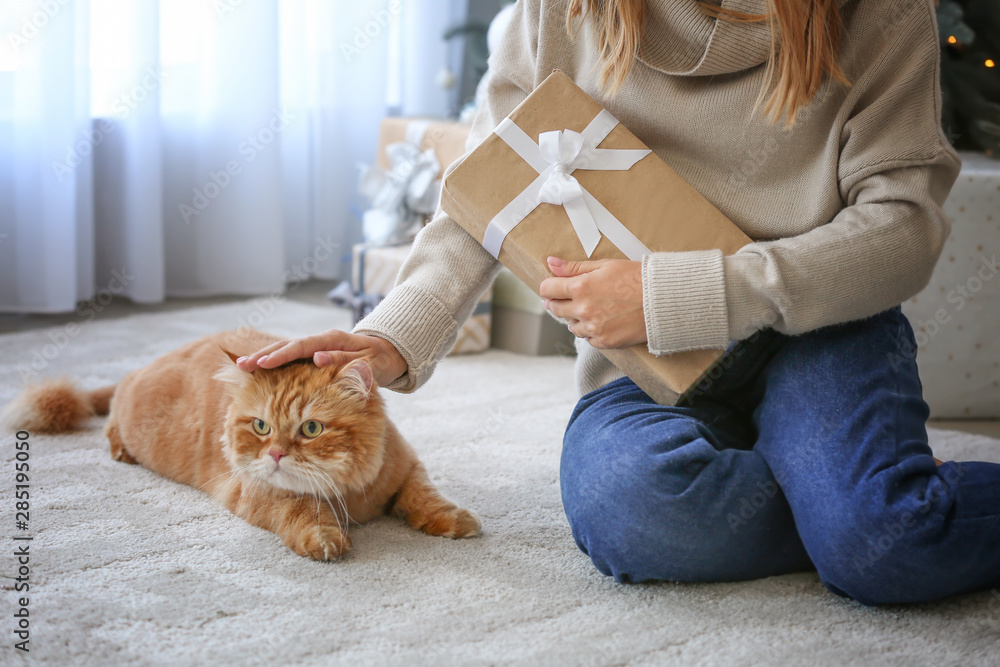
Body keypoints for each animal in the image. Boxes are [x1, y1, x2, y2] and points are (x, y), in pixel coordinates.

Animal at [2, 332, 480, 560]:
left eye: (311, 429)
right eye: (261, 426)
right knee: (108, 425)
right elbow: (303, 511)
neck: (350, 495)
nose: (276, 454)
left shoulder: (407, 469)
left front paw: (453, 520)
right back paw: (120, 450)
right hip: (127, 414)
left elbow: (424, 497)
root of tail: (146, 364)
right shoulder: (257, 493)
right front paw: (324, 538)